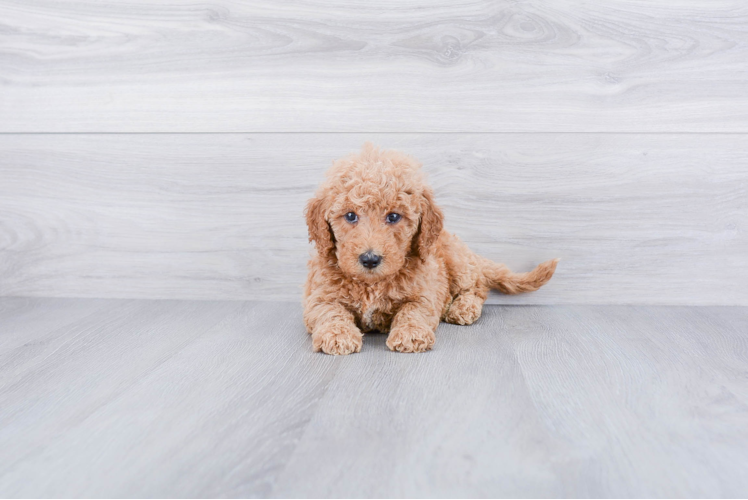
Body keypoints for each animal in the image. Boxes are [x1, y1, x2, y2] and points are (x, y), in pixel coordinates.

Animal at [302, 144, 556, 356]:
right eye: (350, 216)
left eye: (393, 216)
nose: (370, 259)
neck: (372, 283)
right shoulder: (318, 296)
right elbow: (329, 311)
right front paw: (337, 335)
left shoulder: (425, 291)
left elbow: (413, 310)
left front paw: (410, 333)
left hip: (458, 262)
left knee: (477, 287)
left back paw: (463, 308)